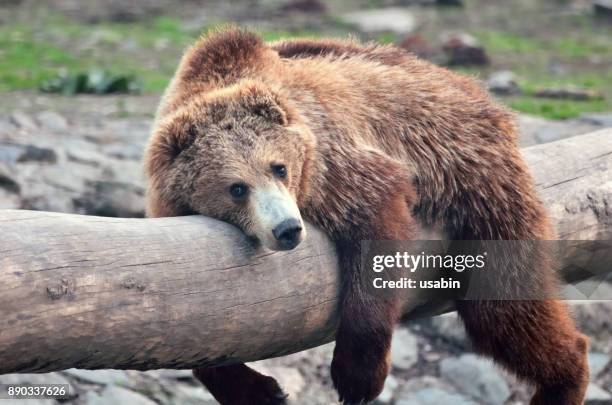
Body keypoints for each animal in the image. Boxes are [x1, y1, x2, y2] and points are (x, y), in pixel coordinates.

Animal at [143, 26, 588, 402]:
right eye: (237, 187)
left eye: (279, 167)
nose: (287, 229)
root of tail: (473, 90)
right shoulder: (170, 217)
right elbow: (201, 331)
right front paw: (260, 390)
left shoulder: (334, 165)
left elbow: (376, 227)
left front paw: (356, 377)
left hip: (475, 174)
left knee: (504, 304)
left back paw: (564, 378)